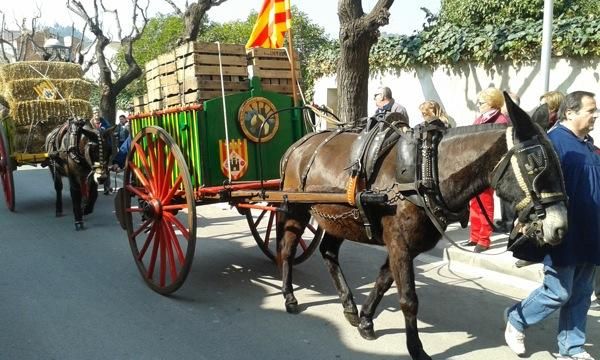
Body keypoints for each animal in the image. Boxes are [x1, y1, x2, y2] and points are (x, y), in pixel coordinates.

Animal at [276, 94, 568, 358]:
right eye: (535, 164)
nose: (560, 227)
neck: (424, 173)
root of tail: (299, 146)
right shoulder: (400, 244)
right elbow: (408, 299)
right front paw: (416, 349)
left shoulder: (405, 246)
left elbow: (383, 281)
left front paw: (366, 319)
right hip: (297, 209)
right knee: (287, 250)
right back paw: (289, 296)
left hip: (340, 219)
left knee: (328, 251)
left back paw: (349, 306)